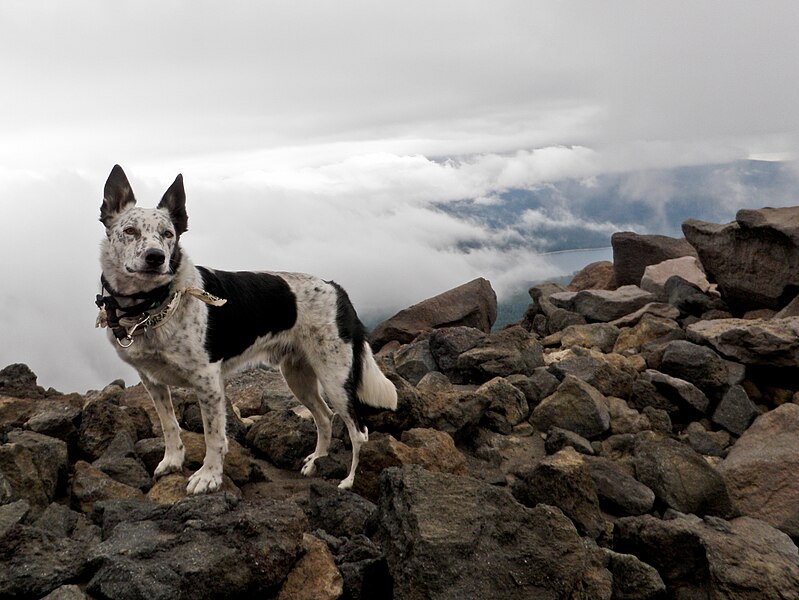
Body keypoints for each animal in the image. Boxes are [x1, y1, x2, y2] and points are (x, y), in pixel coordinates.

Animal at [98, 166, 398, 494]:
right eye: (130, 231)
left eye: (168, 234)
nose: (156, 257)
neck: (154, 305)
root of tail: (337, 289)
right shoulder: (152, 380)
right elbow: (169, 424)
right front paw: (173, 461)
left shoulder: (208, 381)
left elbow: (214, 436)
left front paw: (209, 476)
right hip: (297, 374)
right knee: (324, 416)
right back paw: (316, 461)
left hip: (335, 376)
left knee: (359, 430)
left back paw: (350, 480)